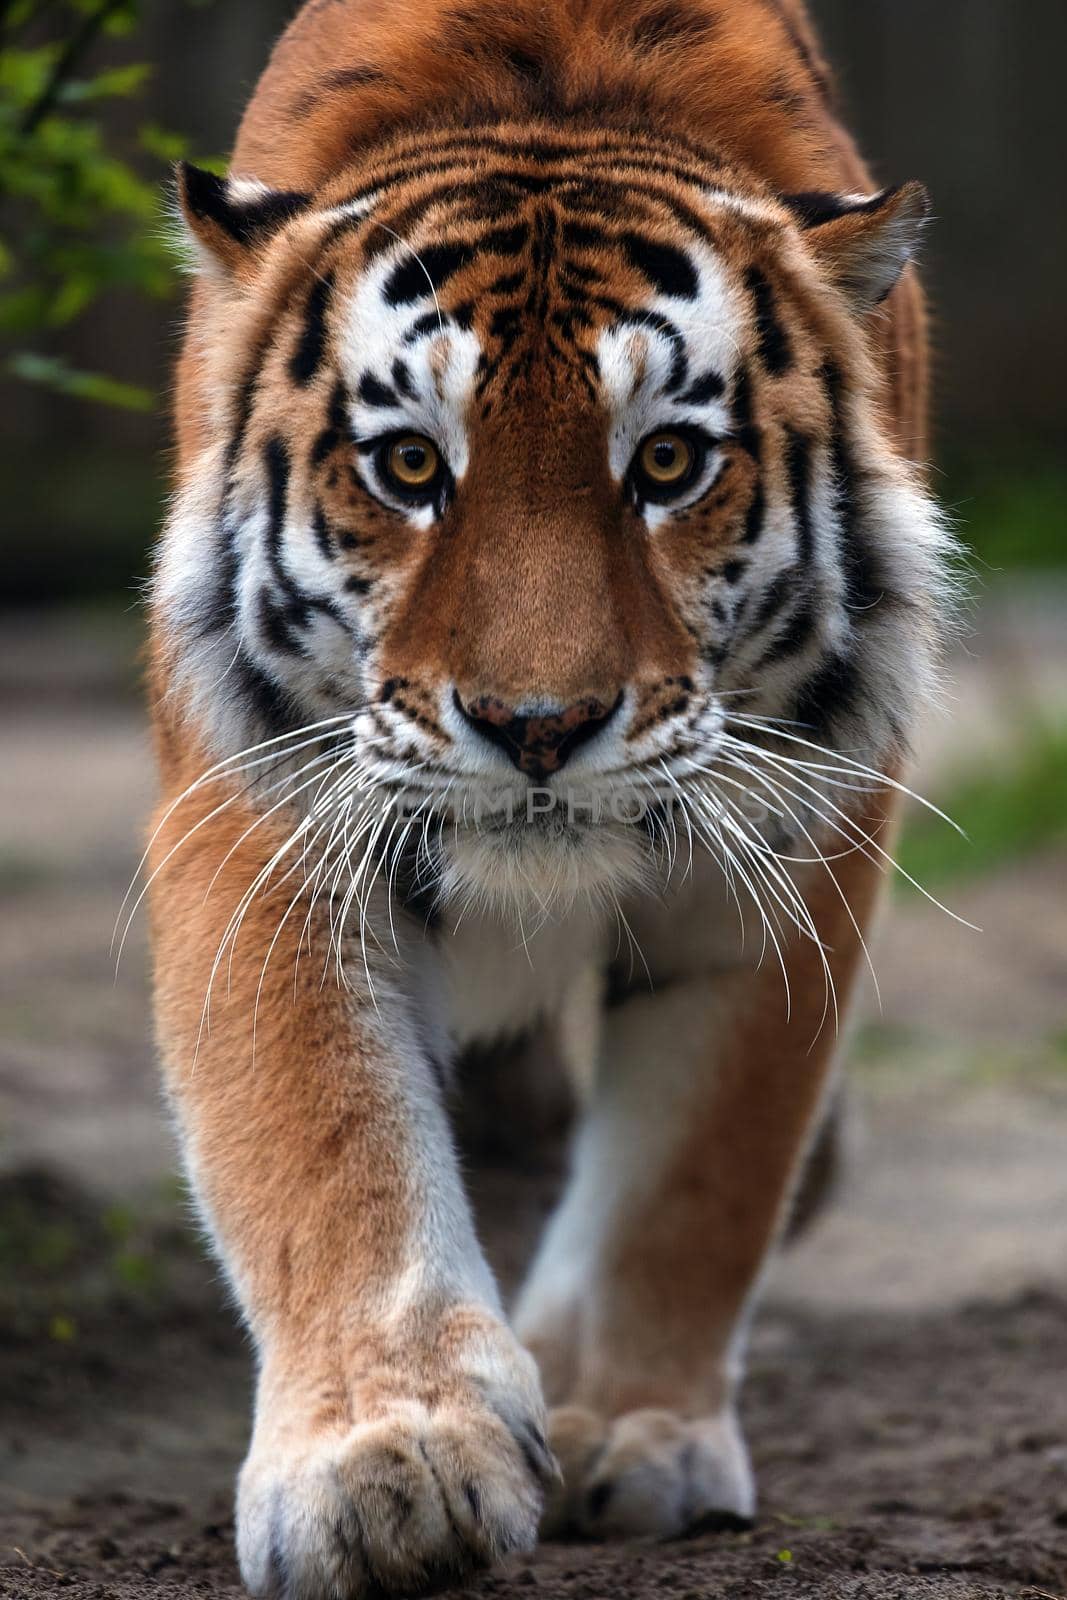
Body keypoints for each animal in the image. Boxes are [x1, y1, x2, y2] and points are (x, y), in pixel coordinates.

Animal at [146, 0, 953, 1593]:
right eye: (408, 464)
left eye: (666, 462)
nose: (535, 727)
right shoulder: (257, 803)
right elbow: (319, 1135)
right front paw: (387, 1462)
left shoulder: (793, 835)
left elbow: (699, 1161)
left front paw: (626, 1430)